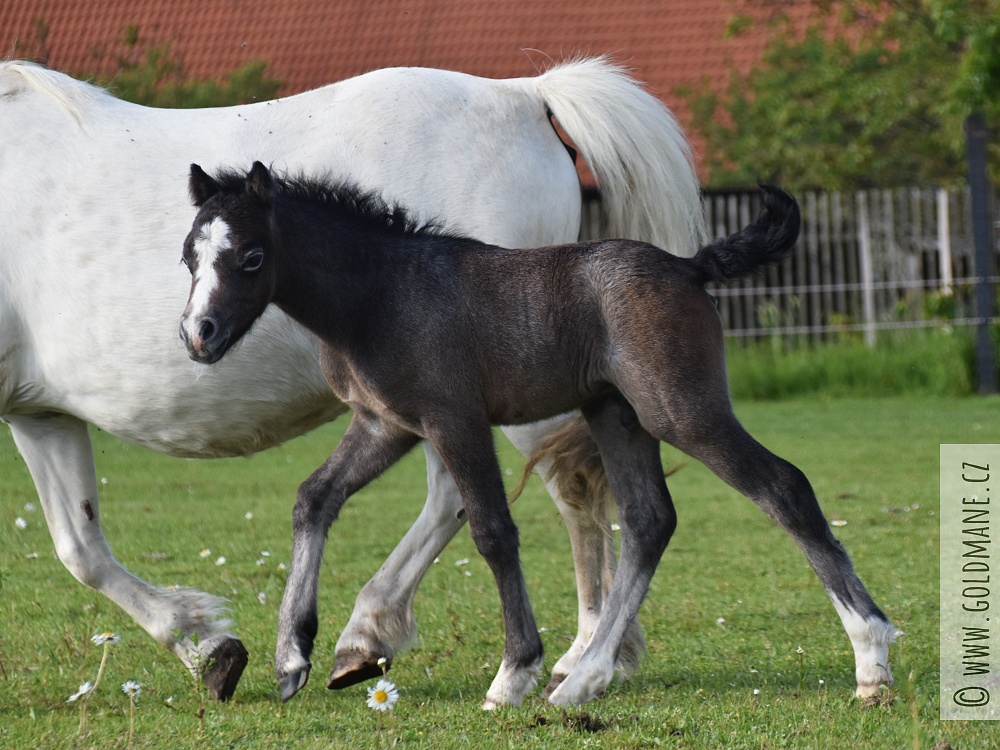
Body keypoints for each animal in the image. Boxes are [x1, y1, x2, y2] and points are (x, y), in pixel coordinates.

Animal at [0, 57, 708, 704]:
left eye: (250, 257)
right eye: (186, 257)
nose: (197, 334)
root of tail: (526, 93)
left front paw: (212, 650)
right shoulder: (40, 414)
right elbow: (81, 545)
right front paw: (220, 651)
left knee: (566, 488)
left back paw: (580, 654)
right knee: (461, 500)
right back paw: (372, 640)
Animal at [178, 162, 900, 708]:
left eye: (251, 256)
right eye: (189, 255)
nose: (198, 334)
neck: (381, 294)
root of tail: (689, 266)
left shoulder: (454, 420)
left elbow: (493, 531)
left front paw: (513, 673)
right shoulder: (384, 424)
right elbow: (313, 499)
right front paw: (293, 658)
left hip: (680, 411)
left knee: (783, 487)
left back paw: (872, 660)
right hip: (616, 415)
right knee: (650, 519)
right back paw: (584, 679)